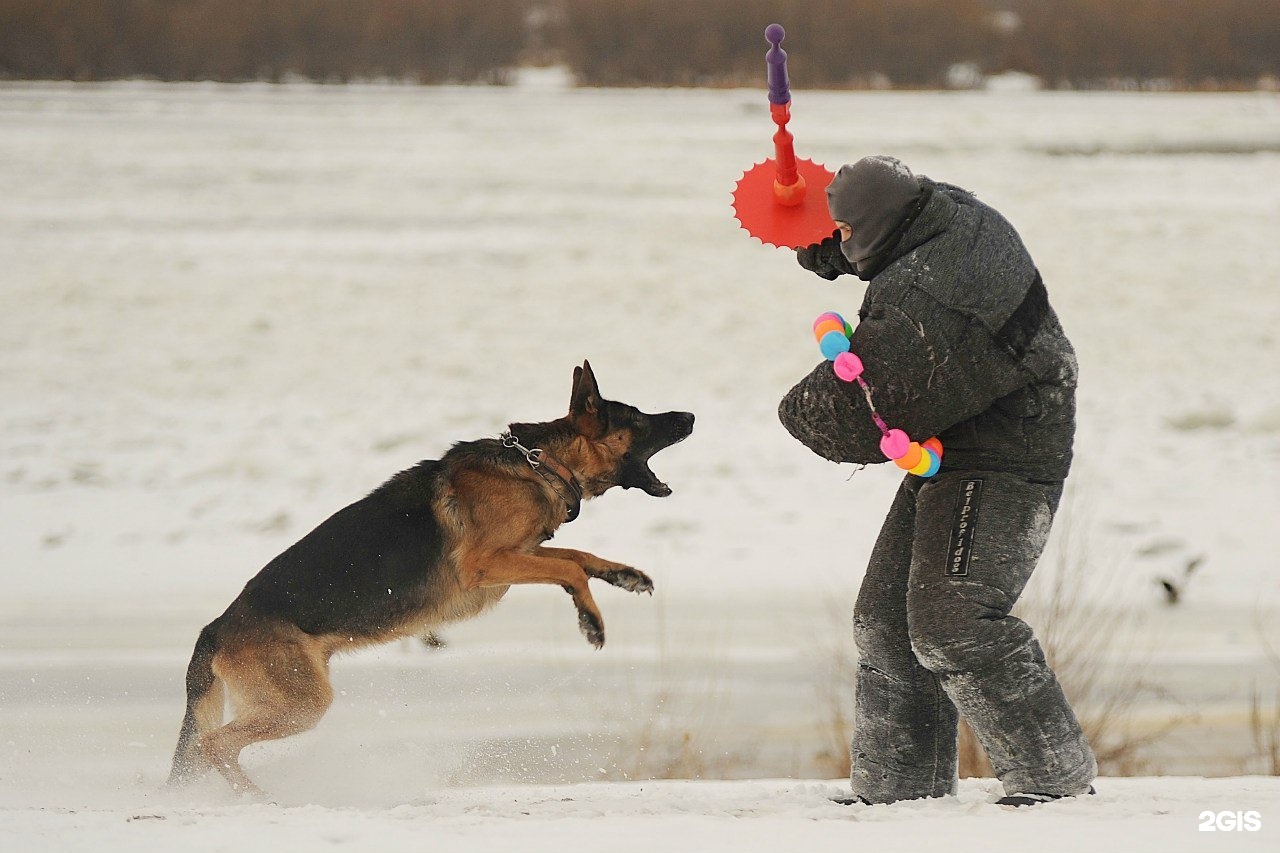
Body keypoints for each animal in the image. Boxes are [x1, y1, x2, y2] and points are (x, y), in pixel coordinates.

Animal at [170, 361, 696, 799]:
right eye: (640, 418)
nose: (691, 415)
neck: (541, 462)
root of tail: (214, 628)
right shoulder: (487, 564)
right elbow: (568, 567)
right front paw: (592, 621)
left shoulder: (521, 554)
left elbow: (578, 557)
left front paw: (625, 576)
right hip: (302, 703)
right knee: (214, 744)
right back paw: (258, 799)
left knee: (209, 747)